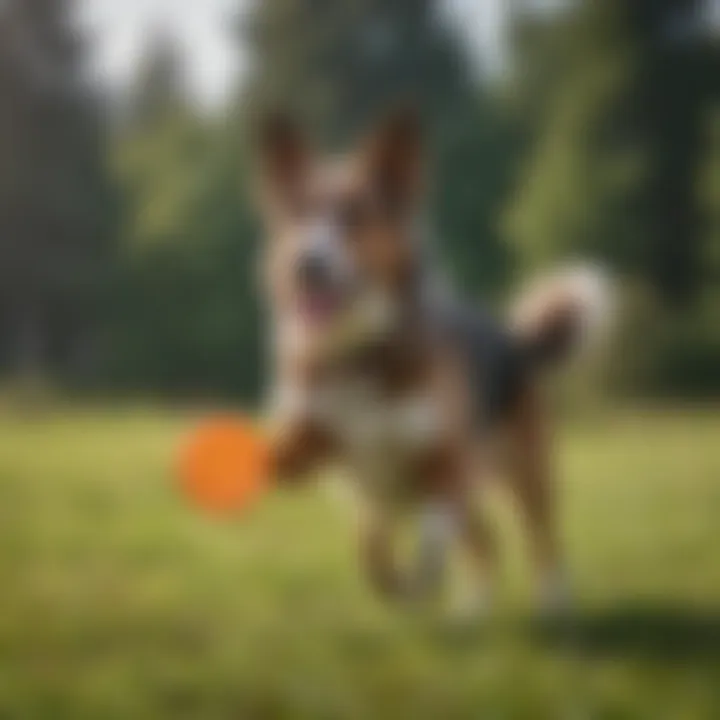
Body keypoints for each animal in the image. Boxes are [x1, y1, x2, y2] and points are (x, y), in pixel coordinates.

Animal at [253, 109, 608, 616]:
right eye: (298, 214)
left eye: (355, 216)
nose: (306, 264)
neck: (363, 349)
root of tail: (516, 340)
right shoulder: (335, 451)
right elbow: (369, 543)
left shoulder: (445, 463)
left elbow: (430, 540)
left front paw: (419, 581)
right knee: (487, 542)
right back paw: (472, 612)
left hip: (528, 472)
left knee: (543, 538)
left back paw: (553, 604)